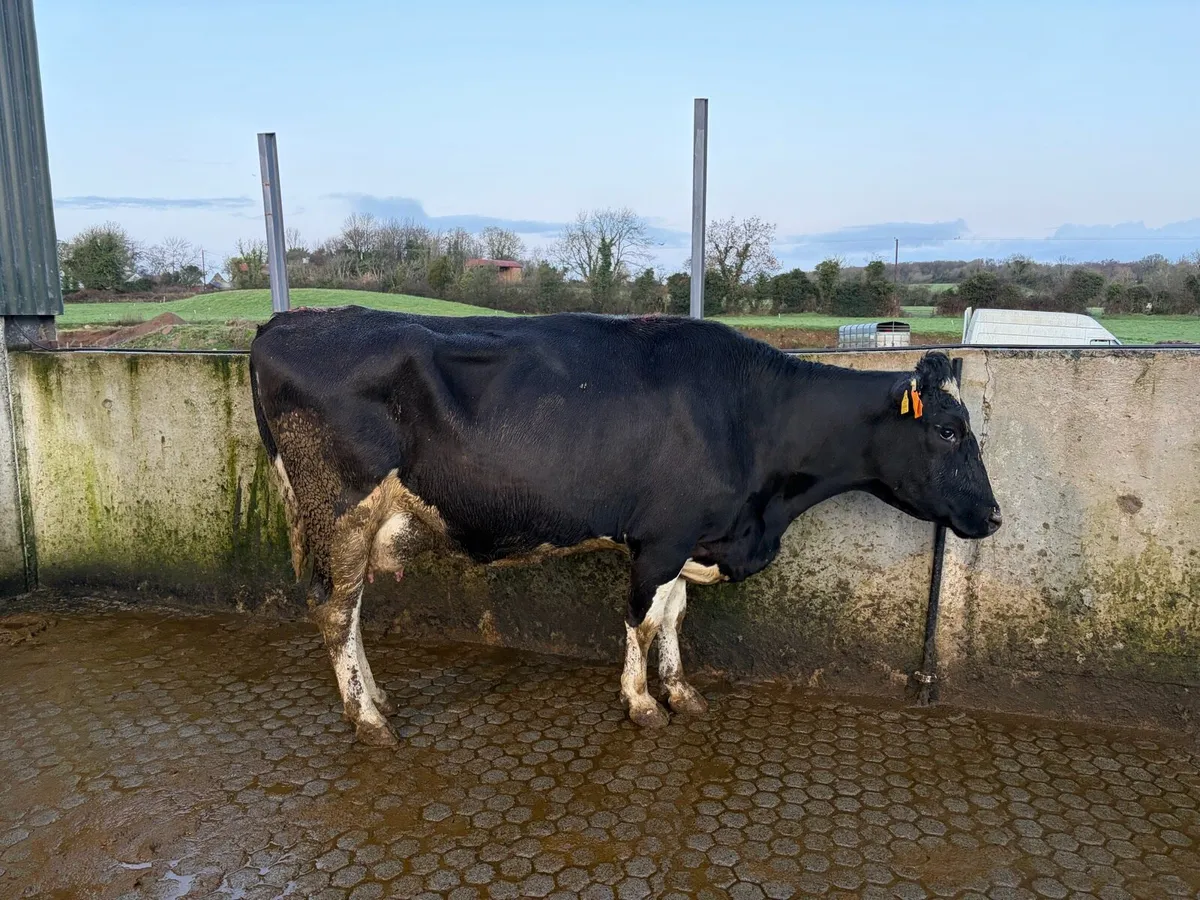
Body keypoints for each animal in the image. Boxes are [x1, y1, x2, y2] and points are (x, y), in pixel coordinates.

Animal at [249, 306, 1001, 747]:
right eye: (948, 428)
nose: (994, 515)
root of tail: (283, 320)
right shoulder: (661, 537)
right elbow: (641, 619)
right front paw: (641, 703)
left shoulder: (691, 537)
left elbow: (672, 615)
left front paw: (681, 690)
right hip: (340, 510)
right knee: (333, 610)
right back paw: (368, 720)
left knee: (349, 612)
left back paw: (375, 698)